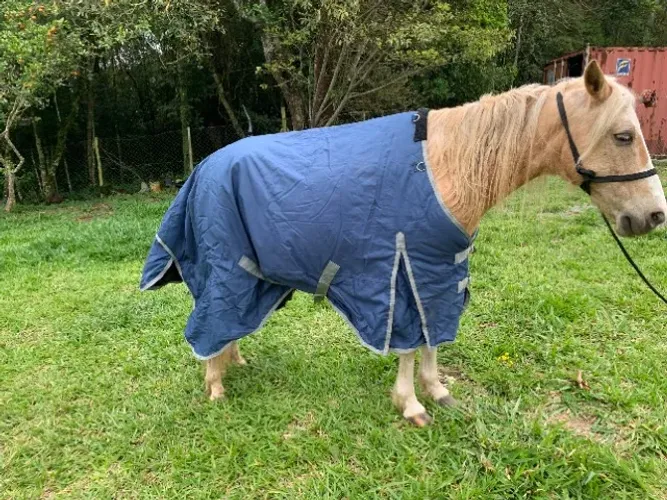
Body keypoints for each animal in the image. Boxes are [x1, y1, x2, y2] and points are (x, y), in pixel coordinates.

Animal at [140, 61, 667, 426]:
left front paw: (437, 392)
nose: (653, 215)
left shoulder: (439, 271)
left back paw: (233, 361)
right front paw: (411, 404)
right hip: (224, 268)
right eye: (623, 136)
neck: (445, 166)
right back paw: (216, 385)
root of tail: (203, 168)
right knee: (210, 321)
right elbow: (412, 344)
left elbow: (433, 338)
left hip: (255, 277)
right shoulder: (404, 269)